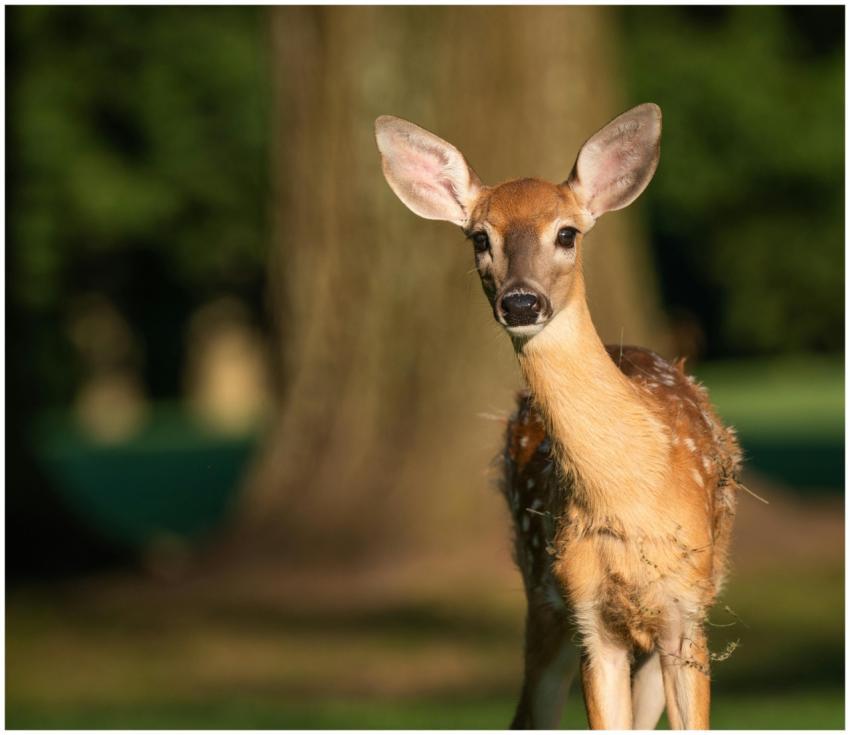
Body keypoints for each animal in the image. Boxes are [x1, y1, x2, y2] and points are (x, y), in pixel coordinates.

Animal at [374, 104, 741, 730]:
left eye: (567, 233)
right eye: (480, 237)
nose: (522, 302)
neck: (629, 499)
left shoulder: (686, 611)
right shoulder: (588, 615)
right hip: (539, 587)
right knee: (529, 713)